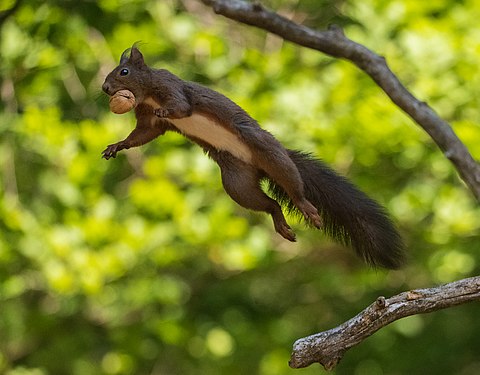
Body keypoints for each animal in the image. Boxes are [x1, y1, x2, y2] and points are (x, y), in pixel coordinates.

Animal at [101, 46, 404, 270]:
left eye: (124, 71)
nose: (104, 88)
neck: (147, 94)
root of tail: (260, 165)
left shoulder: (171, 87)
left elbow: (181, 107)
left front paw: (166, 111)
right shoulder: (147, 120)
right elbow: (142, 134)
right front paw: (117, 145)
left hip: (267, 151)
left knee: (293, 187)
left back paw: (305, 207)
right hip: (238, 182)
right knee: (270, 204)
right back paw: (280, 222)